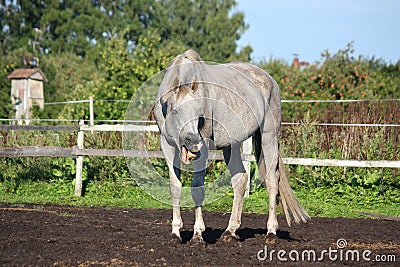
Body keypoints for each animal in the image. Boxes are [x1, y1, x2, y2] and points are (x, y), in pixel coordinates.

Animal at [153, 49, 310, 243]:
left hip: (269, 138)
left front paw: (198, 234)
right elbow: (175, 188)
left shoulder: (204, 148)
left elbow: (197, 189)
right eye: (176, 111)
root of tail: (270, 80)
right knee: (240, 181)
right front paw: (175, 233)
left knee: (272, 181)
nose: (193, 142)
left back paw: (271, 232)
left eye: (199, 112)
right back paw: (230, 231)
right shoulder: (167, 146)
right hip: (232, 145)